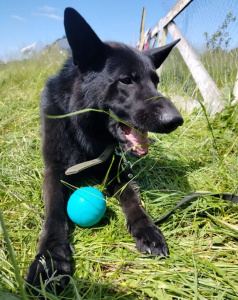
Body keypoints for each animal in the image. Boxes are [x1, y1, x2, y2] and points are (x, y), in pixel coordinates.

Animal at [26, 6, 184, 292]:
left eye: (155, 81)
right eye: (126, 80)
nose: (176, 120)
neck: (85, 131)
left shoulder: (117, 169)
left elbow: (132, 198)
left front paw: (146, 229)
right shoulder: (54, 171)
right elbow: (54, 212)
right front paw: (51, 259)